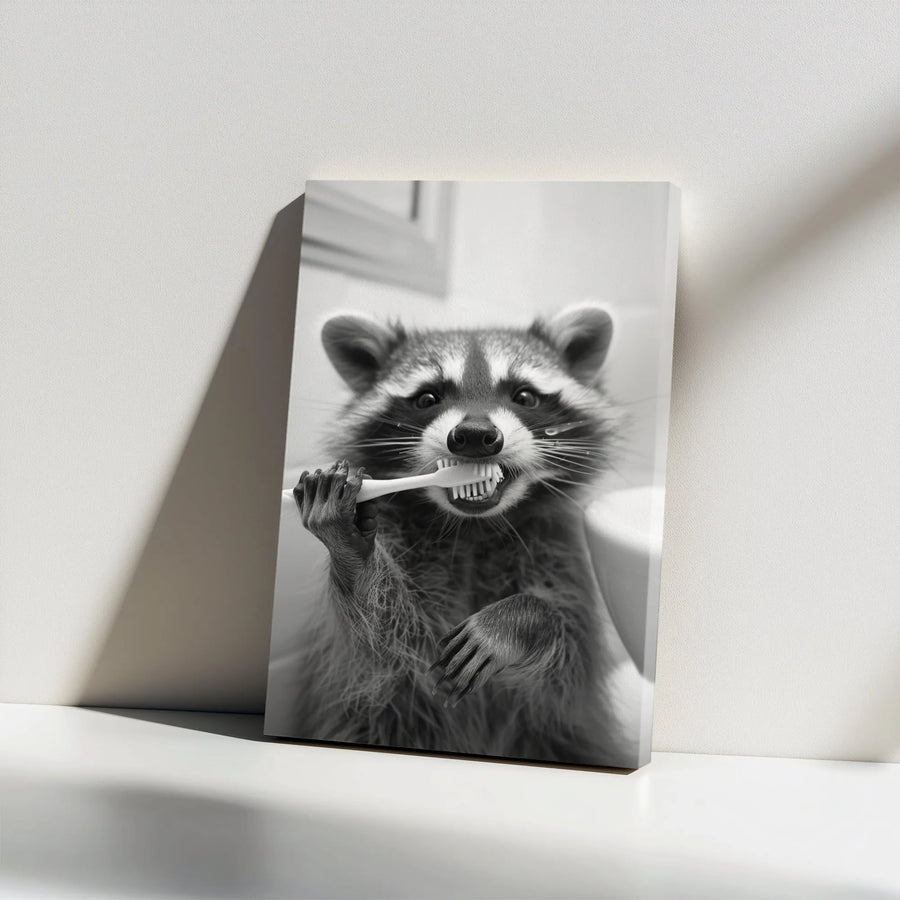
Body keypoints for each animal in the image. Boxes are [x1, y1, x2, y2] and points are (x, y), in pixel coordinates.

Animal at [289, 302, 631, 767]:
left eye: (524, 396)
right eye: (428, 397)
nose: (474, 436)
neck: (473, 528)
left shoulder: (560, 554)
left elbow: (566, 668)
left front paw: (519, 620)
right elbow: (385, 646)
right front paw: (352, 552)